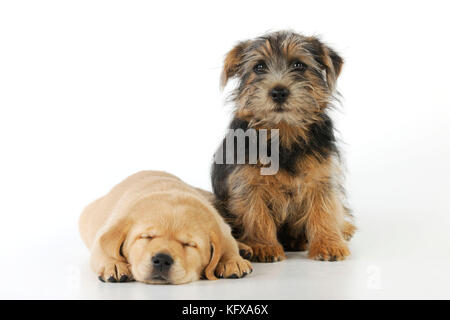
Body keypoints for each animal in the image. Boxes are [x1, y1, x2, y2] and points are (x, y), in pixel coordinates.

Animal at [78, 171, 251, 284]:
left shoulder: (221, 225)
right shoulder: (106, 230)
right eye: (147, 237)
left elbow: (228, 244)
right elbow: (103, 248)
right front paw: (114, 264)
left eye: (189, 245)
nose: (162, 259)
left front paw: (232, 260)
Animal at [211, 30, 356, 262]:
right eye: (259, 67)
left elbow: (324, 211)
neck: (283, 132)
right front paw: (264, 246)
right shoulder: (248, 183)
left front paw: (328, 244)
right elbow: (256, 215)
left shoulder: (322, 177)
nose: (279, 92)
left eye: (299, 65)